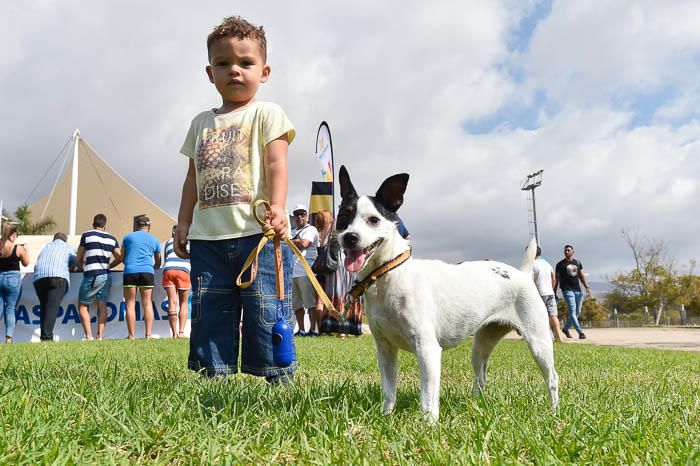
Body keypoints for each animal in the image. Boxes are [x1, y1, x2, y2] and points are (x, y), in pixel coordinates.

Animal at [336, 167, 560, 422]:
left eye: (373, 220)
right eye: (343, 217)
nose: (350, 237)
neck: (388, 275)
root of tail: (522, 273)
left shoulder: (428, 350)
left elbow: (427, 398)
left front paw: (429, 425)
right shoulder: (385, 350)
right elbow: (389, 391)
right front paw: (386, 417)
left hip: (538, 343)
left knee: (552, 378)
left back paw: (554, 411)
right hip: (481, 344)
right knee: (481, 376)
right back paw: (475, 405)